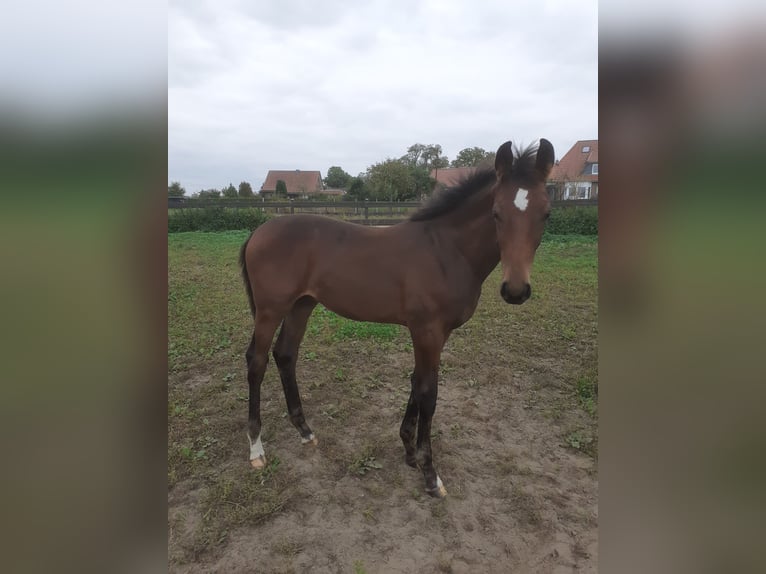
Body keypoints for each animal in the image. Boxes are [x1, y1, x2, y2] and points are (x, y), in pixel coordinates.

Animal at [237, 140, 556, 500]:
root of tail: (258, 232)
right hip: (270, 309)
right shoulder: (427, 331)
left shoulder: (436, 333)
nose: (515, 290)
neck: (446, 251)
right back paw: (256, 448)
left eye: (546, 213)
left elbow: (417, 382)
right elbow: (429, 393)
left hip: (301, 306)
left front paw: (409, 451)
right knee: (257, 362)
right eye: (496, 213)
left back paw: (305, 430)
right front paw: (430, 474)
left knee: (285, 355)